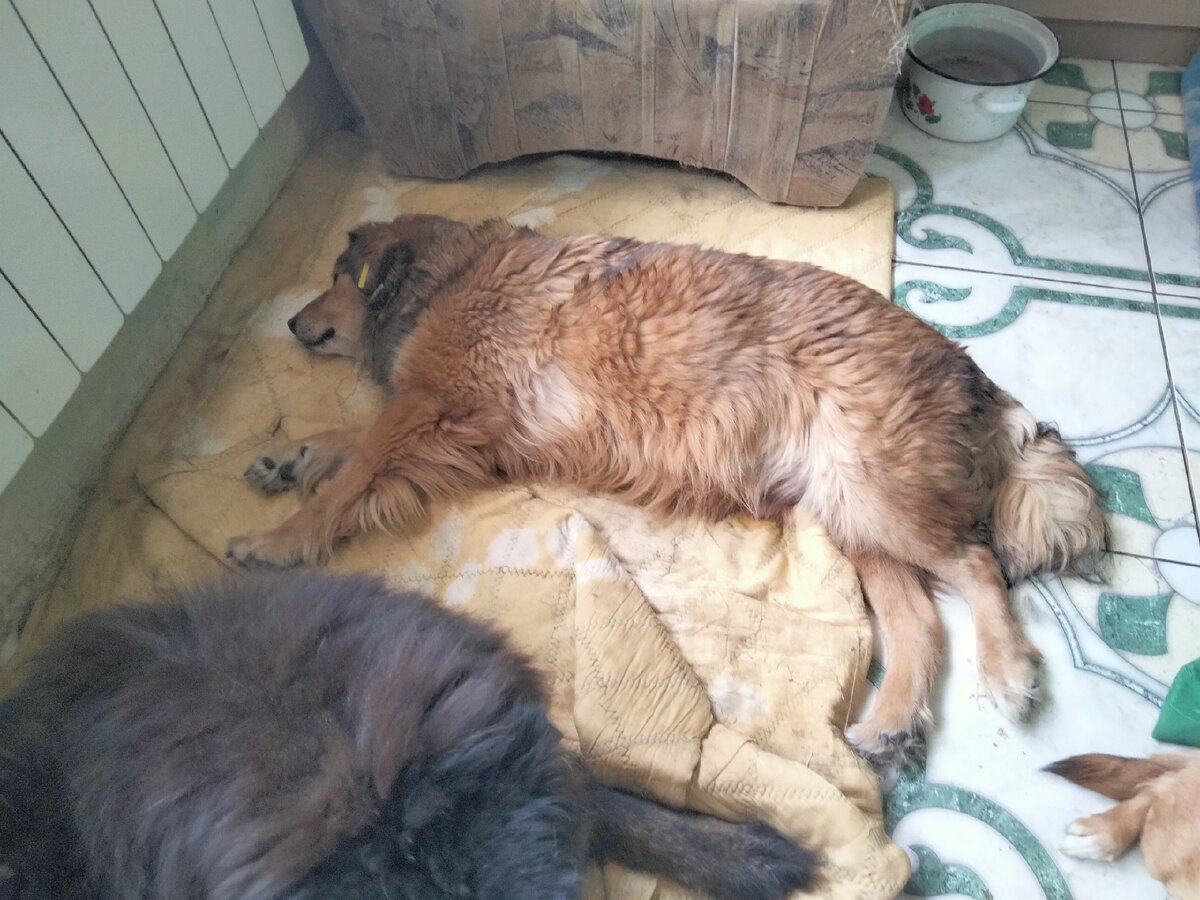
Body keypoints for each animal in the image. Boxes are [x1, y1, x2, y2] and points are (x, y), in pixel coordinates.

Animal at [227, 214, 1107, 763]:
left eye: (336, 278)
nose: (293, 324)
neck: (448, 276)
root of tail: (962, 362)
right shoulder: (464, 437)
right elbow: (346, 446)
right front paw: (290, 458)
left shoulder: (431, 408)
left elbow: (351, 477)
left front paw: (281, 539)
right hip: (852, 510)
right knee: (919, 621)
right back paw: (889, 724)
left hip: (875, 495)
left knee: (977, 564)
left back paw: (1008, 672)